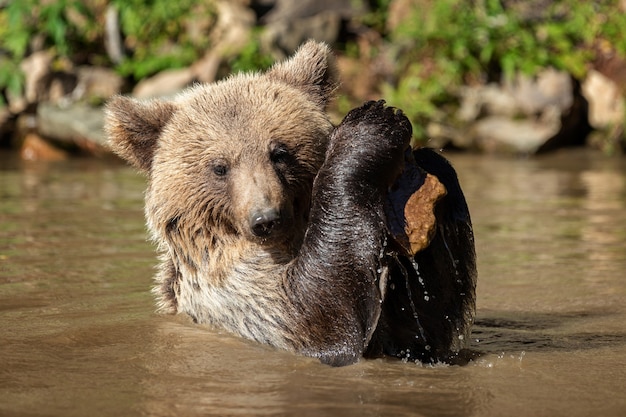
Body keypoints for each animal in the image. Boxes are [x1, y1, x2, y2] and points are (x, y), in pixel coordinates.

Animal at [105, 39, 476, 364]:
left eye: (279, 152)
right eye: (220, 166)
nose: (266, 218)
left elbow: (422, 329)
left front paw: (432, 166)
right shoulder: (235, 295)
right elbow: (320, 313)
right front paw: (373, 124)